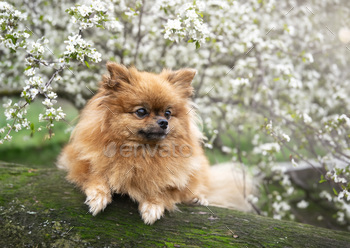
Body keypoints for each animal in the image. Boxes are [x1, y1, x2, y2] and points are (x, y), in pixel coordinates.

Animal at [58, 62, 253, 225]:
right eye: (141, 112)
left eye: (168, 113)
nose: (163, 122)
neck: (141, 152)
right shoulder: (79, 162)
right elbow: (95, 176)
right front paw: (98, 197)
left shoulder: (174, 177)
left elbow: (162, 188)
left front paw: (152, 205)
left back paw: (198, 198)